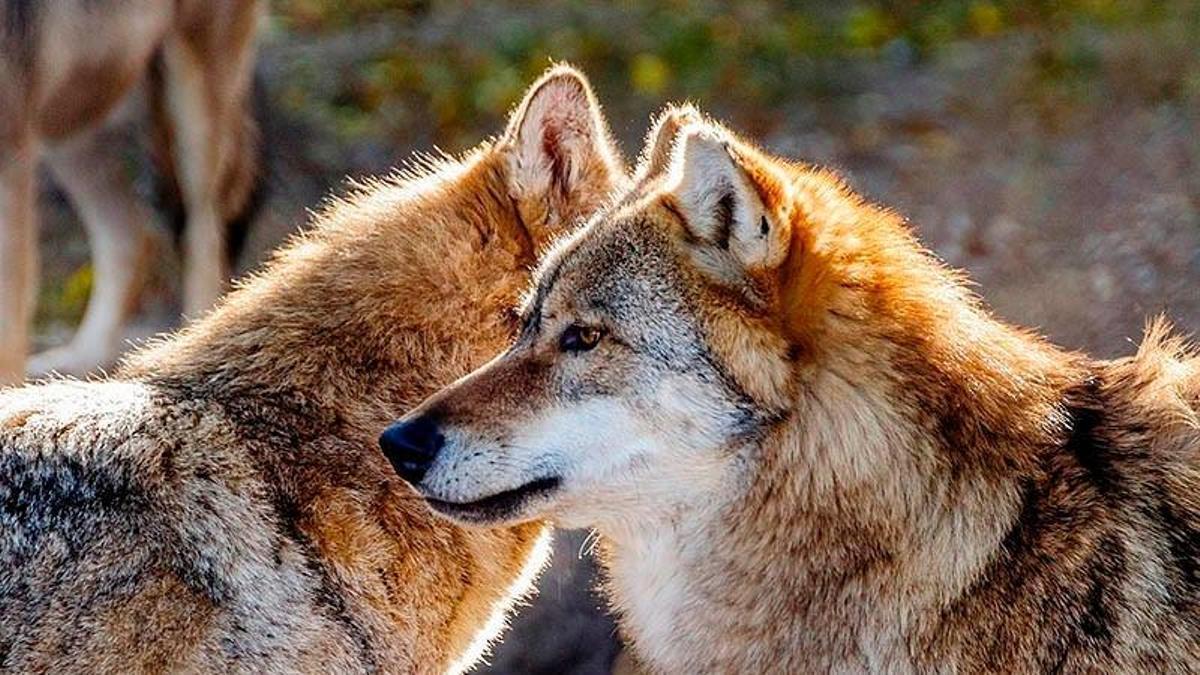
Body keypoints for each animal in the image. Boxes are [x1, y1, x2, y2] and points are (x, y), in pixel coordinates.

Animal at [0, 0, 263, 385]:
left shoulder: (11, 151)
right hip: (71, 125)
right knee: (133, 235)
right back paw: (81, 365)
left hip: (192, 103)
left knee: (205, 238)